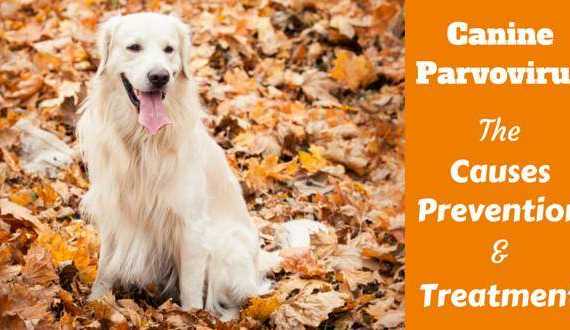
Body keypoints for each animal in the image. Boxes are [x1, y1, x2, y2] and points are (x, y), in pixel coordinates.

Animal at [75, 12, 280, 320]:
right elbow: (105, 266)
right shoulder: (114, 211)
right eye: (134, 47)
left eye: (169, 49)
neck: (144, 141)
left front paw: (191, 318)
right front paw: (97, 302)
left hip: (227, 246)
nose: (160, 77)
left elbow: (192, 290)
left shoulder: (191, 226)